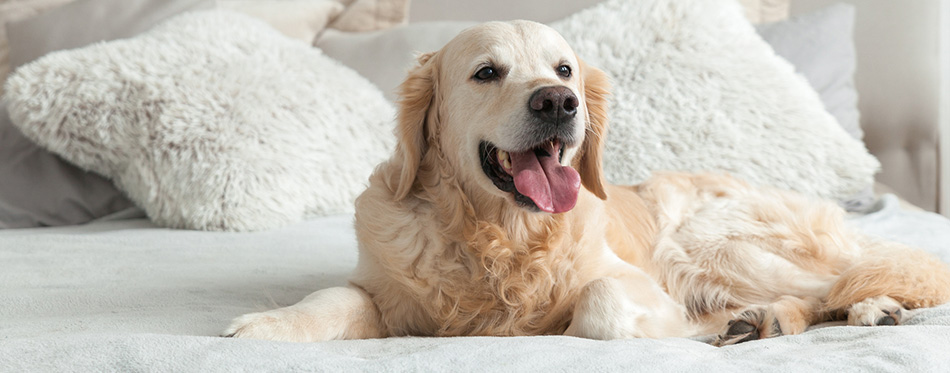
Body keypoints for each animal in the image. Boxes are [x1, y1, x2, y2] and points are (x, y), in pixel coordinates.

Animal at [227, 21, 950, 346]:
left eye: (564, 69)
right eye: (486, 72)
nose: (558, 103)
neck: (501, 237)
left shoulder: (634, 281)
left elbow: (597, 307)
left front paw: (683, 329)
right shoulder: (383, 290)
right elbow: (333, 298)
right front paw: (266, 324)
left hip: (710, 242)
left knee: (844, 280)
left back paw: (859, 308)